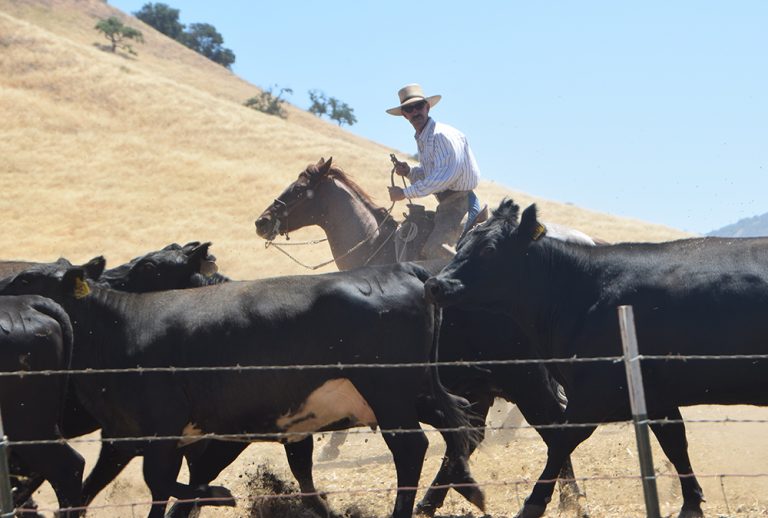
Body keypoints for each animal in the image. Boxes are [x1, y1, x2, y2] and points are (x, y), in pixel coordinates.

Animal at [424, 198, 768, 518]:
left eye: (489, 249)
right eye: (461, 245)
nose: (434, 284)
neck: (580, 290)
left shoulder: (595, 391)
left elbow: (562, 439)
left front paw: (534, 504)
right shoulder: (654, 395)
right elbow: (674, 441)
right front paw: (692, 503)